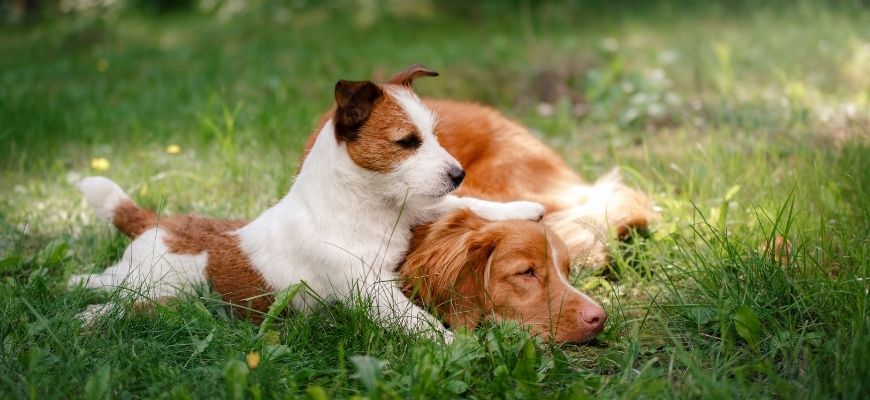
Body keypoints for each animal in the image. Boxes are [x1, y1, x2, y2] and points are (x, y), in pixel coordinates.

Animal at [70, 65, 544, 340]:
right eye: (407, 141)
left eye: (434, 133)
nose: (458, 172)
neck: (367, 206)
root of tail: (155, 221)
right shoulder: (370, 289)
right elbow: (417, 320)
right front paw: (455, 347)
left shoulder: (414, 210)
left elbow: (462, 205)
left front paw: (524, 208)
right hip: (144, 280)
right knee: (100, 284)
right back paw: (87, 309)